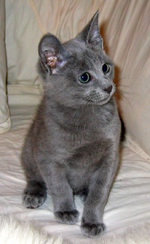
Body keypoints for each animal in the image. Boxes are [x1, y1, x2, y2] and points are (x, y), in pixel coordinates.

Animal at [21, 11, 121, 238]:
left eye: (105, 68)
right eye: (84, 77)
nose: (108, 87)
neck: (87, 113)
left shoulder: (111, 157)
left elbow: (99, 194)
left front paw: (92, 221)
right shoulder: (48, 158)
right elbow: (59, 186)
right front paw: (66, 211)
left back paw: (84, 192)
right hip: (28, 149)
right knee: (34, 176)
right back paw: (34, 193)